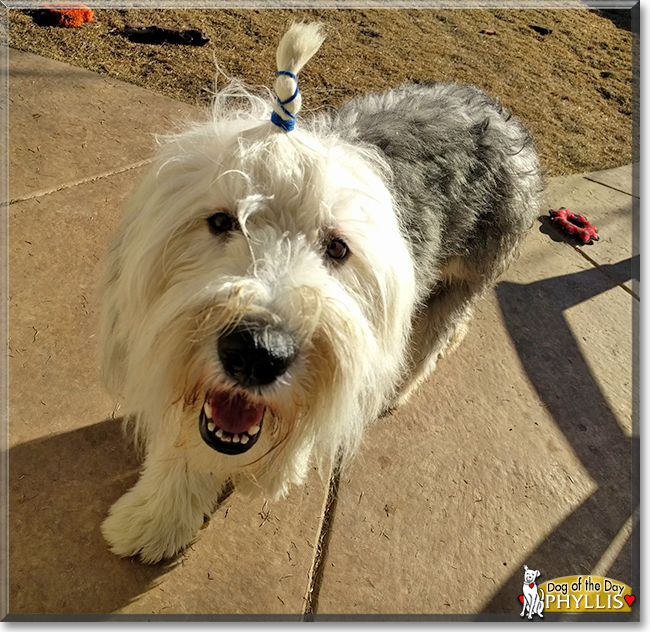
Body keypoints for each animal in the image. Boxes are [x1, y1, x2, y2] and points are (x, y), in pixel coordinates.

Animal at [97, 23, 540, 564]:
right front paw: (154, 519)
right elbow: (185, 442)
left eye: (337, 248)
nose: (257, 354)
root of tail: (495, 107)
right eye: (221, 221)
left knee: (433, 333)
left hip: (466, 273)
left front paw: (271, 476)